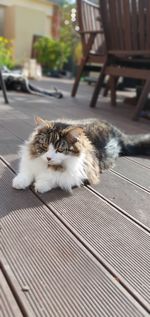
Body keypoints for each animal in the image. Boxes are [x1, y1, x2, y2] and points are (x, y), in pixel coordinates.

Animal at [12, 116, 150, 193]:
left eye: (60, 149)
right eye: (45, 146)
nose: (48, 157)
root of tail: (118, 132)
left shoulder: (83, 173)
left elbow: (55, 179)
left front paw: (41, 184)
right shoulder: (29, 163)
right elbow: (26, 173)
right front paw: (19, 182)